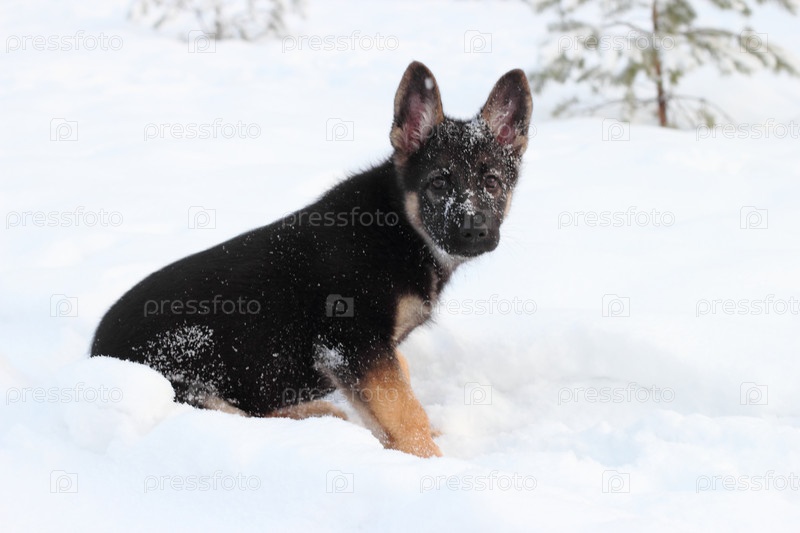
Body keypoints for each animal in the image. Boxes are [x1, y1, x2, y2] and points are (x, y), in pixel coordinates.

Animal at [91, 61, 532, 458]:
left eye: (492, 182)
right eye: (439, 184)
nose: (475, 231)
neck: (400, 227)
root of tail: (93, 354)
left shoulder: (370, 352)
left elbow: (399, 384)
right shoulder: (351, 342)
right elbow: (405, 411)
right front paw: (429, 462)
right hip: (192, 376)